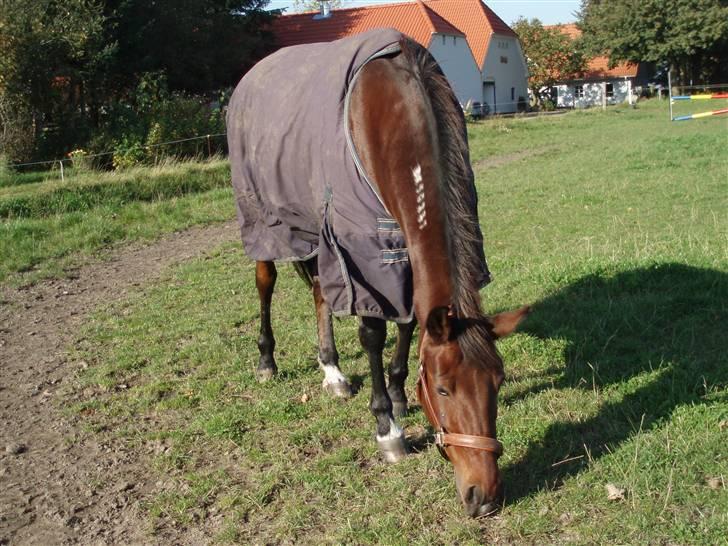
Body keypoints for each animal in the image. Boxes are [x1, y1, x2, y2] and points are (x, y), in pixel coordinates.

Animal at [225, 29, 528, 516]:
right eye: (443, 389)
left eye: (497, 383)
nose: (483, 497)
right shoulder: (361, 251)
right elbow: (373, 332)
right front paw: (388, 428)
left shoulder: (395, 252)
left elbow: (407, 325)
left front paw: (401, 396)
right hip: (264, 217)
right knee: (265, 282)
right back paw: (267, 361)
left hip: (315, 225)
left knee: (320, 293)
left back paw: (332, 371)